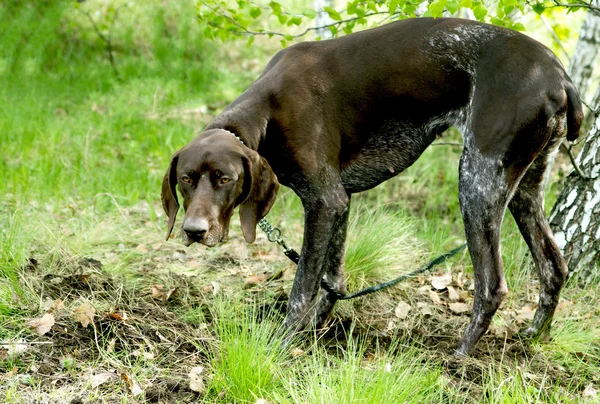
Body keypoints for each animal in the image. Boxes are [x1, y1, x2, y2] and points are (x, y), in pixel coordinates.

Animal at [162, 17, 584, 356]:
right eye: (186, 180)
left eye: (225, 179)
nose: (194, 231)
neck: (267, 113)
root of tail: (558, 76)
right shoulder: (340, 201)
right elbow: (333, 280)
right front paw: (315, 332)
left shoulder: (324, 201)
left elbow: (303, 288)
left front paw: (282, 343)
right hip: (523, 189)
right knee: (554, 266)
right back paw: (534, 338)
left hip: (477, 183)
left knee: (492, 285)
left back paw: (460, 357)